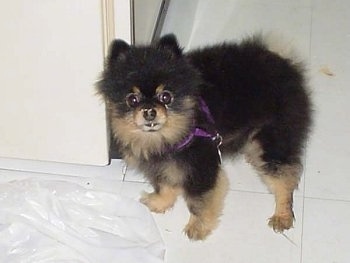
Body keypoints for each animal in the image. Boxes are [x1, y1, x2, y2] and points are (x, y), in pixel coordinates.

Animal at [98, 34, 312, 241]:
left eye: (166, 97)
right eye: (132, 99)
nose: (149, 111)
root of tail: (283, 62)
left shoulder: (200, 167)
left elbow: (198, 202)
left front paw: (198, 227)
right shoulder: (164, 164)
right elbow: (165, 185)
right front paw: (160, 202)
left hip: (273, 139)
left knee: (284, 178)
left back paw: (282, 215)